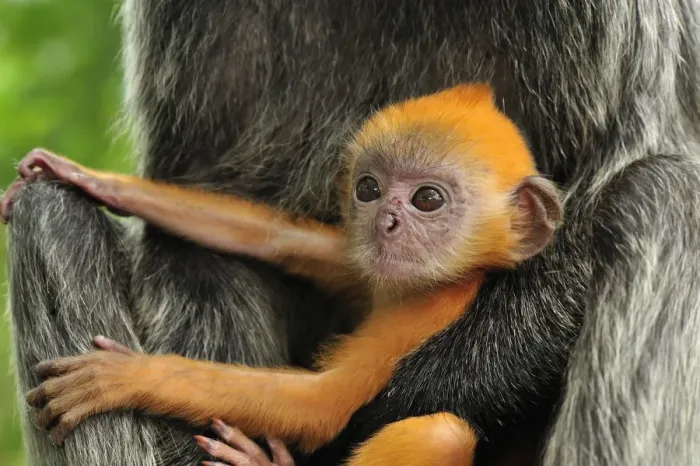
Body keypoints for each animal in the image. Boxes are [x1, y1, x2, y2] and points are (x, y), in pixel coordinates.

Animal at [3, 82, 563, 465]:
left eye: (428, 199)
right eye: (369, 188)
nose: (386, 221)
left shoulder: (428, 310)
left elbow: (321, 403)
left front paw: (124, 377)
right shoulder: (364, 266)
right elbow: (281, 239)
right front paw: (93, 180)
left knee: (438, 432)